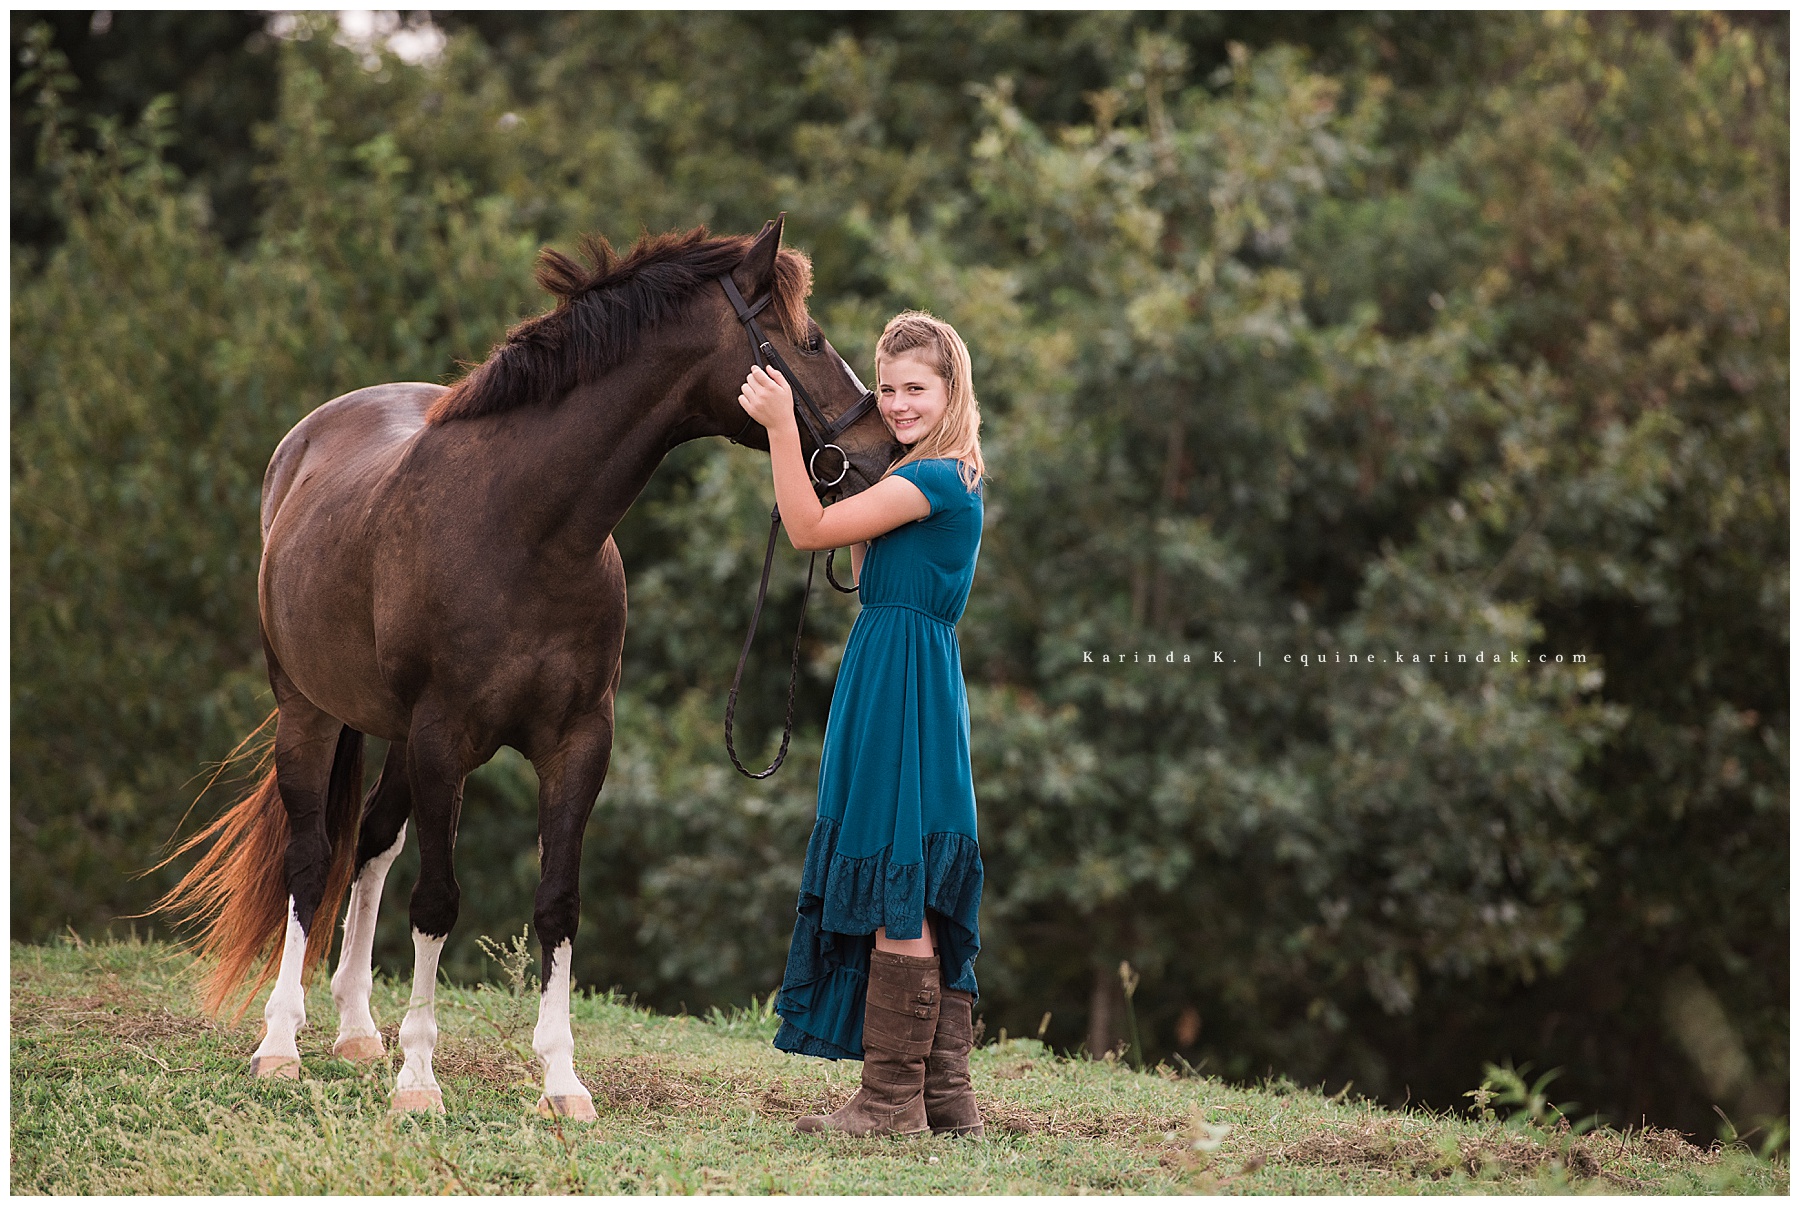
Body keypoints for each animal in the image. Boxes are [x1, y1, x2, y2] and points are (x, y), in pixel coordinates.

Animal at [151, 215, 899, 1118]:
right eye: (811, 340)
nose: (885, 452)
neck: (527, 529)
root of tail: (304, 441)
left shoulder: (577, 743)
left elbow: (557, 904)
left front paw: (561, 1081)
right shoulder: (445, 739)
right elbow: (437, 902)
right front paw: (419, 1080)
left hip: (394, 737)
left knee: (370, 843)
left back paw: (358, 1031)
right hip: (309, 711)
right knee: (310, 857)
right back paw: (280, 1043)